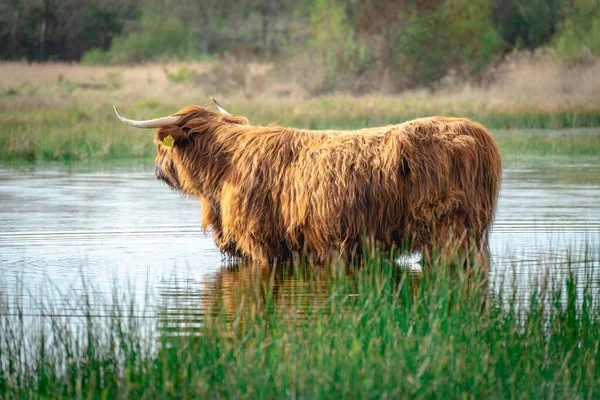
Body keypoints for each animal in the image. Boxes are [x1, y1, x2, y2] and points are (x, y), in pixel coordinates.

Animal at [113, 98, 502, 270]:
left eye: (162, 147)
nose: (158, 170)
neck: (224, 167)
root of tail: (476, 132)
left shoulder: (260, 243)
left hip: (451, 228)